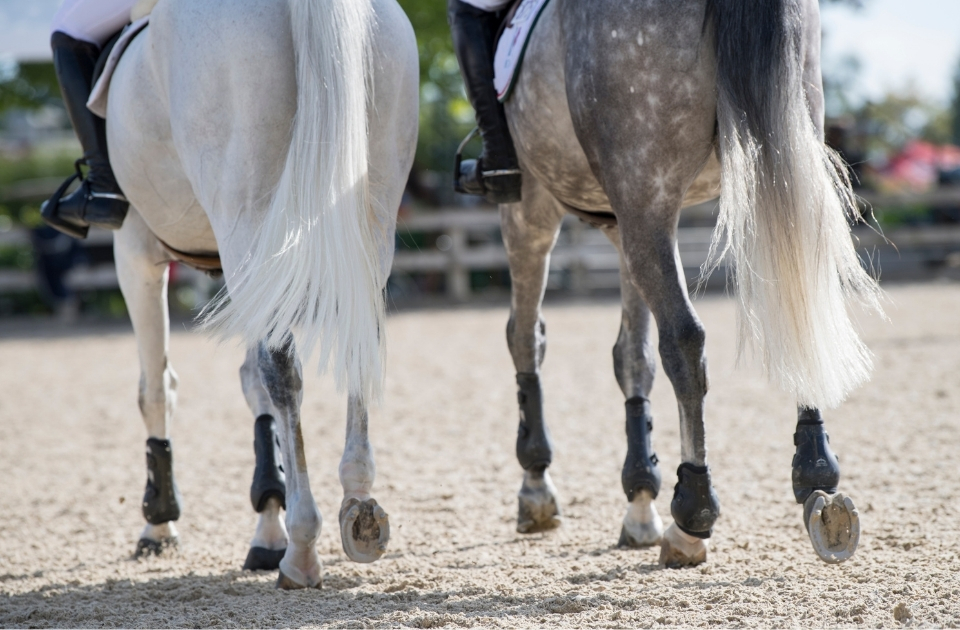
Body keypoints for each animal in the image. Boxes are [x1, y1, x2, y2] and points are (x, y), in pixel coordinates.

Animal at [104, 0, 418, 588]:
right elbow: (253, 387)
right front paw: (265, 525)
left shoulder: (134, 249)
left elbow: (156, 387)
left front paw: (160, 522)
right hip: (367, 219)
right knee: (354, 345)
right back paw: (358, 508)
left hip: (243, 217)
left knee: (281, 371)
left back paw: (303, 546)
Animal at [496, 0, 881, 566]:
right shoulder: (621, 223)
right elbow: (632, 356)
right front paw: (639, 499)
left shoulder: (532, 208)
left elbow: (528, 338)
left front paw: (537, 484)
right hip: (773, 153)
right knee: (797, 302)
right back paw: (818, 483)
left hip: (638, 193)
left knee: (683, 340)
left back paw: (692, 512)